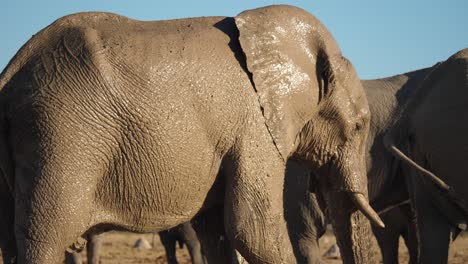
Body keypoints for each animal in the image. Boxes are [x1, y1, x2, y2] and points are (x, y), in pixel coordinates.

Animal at [0, 4, 380, 264]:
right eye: (358, 126)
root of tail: (11, 72)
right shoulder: (254, 127)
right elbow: (252, 230)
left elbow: (217, 233)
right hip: (63, 139)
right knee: (44, 239)